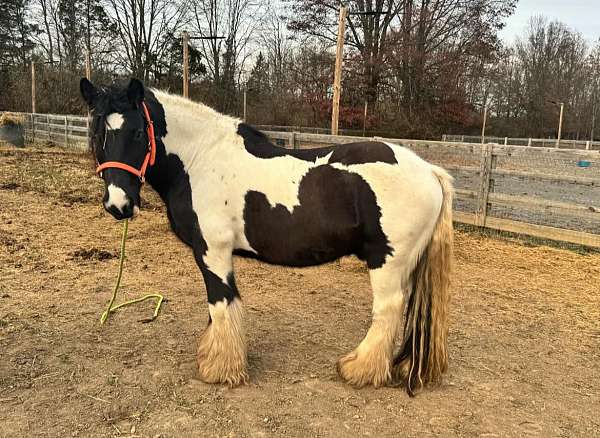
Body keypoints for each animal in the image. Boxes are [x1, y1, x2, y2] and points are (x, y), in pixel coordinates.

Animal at [81, 77, 454, 396]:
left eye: (138, 133)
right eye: (96, 133)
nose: (118, 204)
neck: (200, 160)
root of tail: (430, 171)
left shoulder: (213, 251)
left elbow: (221, 303)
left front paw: (220, 369)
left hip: (387, 262)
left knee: (388, 310)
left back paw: (359, 369)